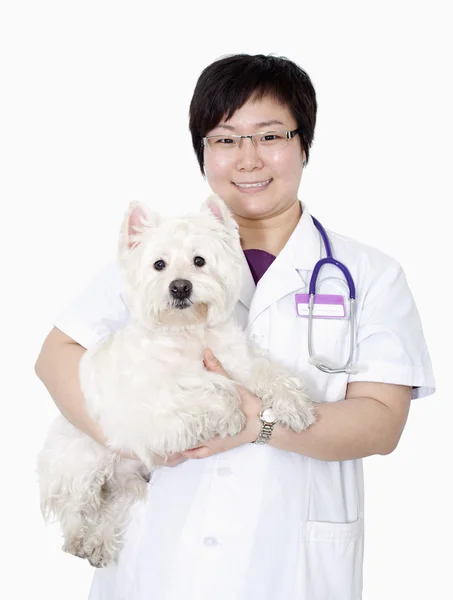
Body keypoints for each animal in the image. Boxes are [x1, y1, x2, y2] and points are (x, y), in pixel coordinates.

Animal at [37, 193, 316, 568]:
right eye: (159, 265)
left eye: (199, 260)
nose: (180, 286)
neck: (187, 331)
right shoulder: (150, 401)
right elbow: (209, 390)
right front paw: (230, 414)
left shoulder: (239, 360)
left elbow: (269, 375)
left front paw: (295, 406)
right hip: (84, 459)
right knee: (76, 505)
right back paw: (79, 539)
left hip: (131, 477)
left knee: (116, 503)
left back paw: (99, 544)